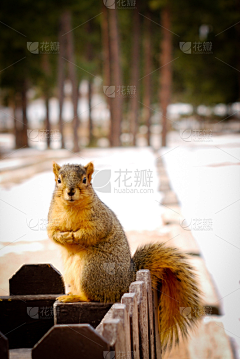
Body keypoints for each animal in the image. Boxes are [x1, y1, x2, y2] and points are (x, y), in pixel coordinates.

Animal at [47, 162, 203, 352]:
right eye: (58, 180)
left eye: (84, 180)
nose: (70, 191)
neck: (70, 207)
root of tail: (128, 279)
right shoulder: (52, 219)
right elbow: (52, 233)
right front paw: (63, 237)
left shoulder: (100, 219)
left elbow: (94, 232)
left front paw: (74, 236)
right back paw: (69, 295)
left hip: (91, 271)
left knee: (94, 297)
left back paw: (75, 297)